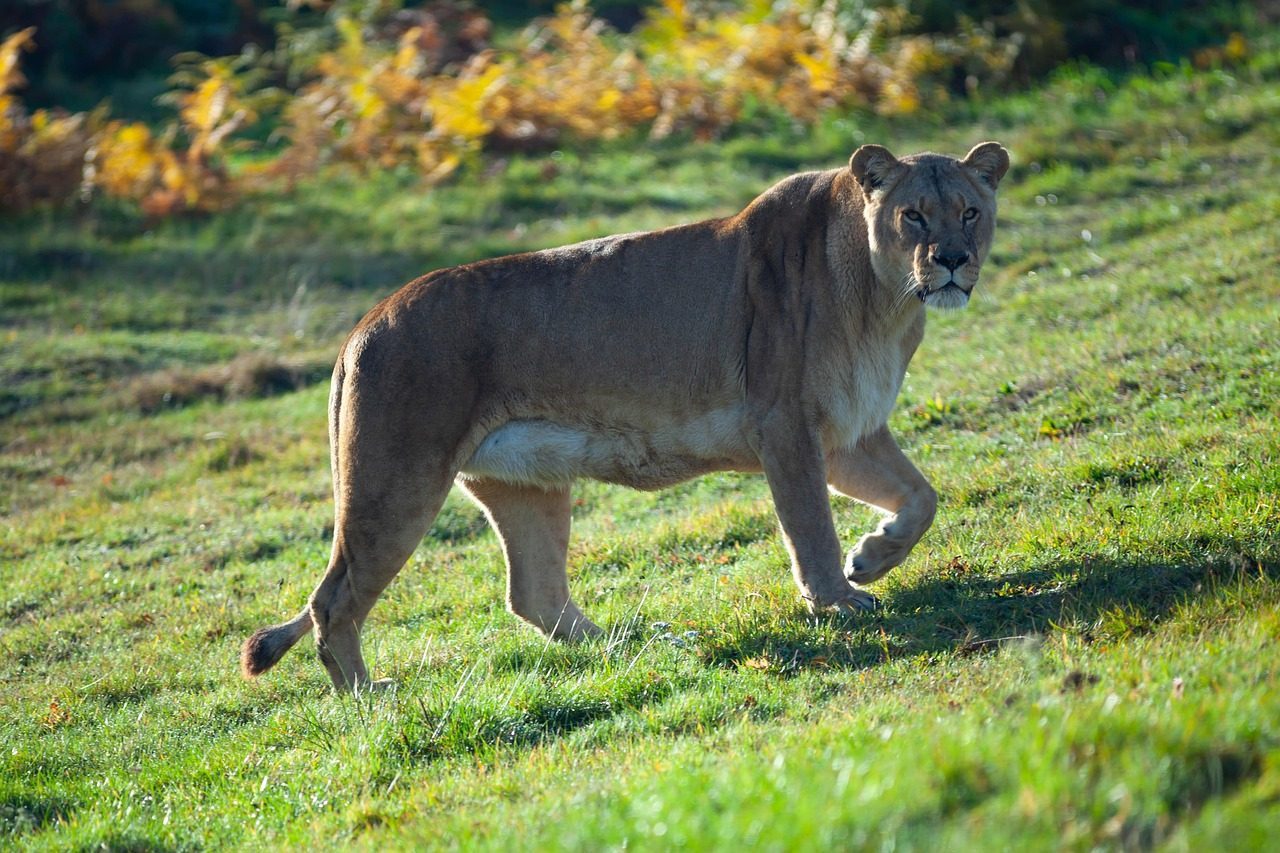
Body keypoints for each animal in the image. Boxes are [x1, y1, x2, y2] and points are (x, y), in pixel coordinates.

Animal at [241, 141, 1010, 692]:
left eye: (970, 212)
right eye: (913, 214)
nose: (952, 260)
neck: (887, 301)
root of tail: (359, 329)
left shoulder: (848, 432)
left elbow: (921, 496)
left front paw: (872, 556)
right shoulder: (785, 426)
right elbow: (810, 527)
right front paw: (839, 599)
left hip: (524, 484)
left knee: (535, 594)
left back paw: (636, 644)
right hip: (394, 481)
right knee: (334, 600)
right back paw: (371, 697)